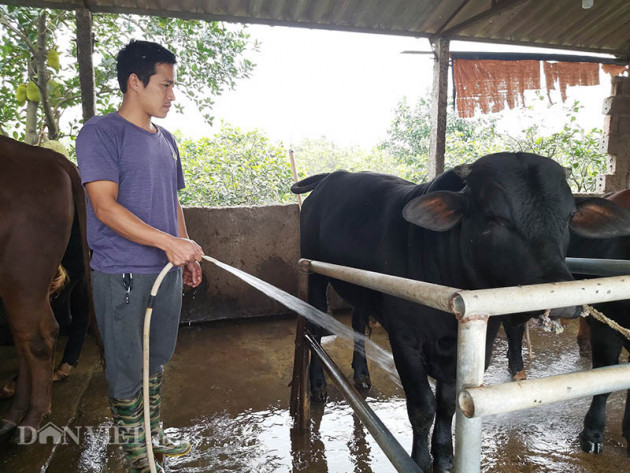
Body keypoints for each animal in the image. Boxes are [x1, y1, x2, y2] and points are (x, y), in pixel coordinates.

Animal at [294, 153, 630, 470]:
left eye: (569, 215)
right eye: (492, 216)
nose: (562, 299)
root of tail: (334, 175)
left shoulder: (471, 347)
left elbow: (446, 406)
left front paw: (444, 457)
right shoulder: (405, 342)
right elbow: (423, 408)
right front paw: (420, 460)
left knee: (359, 321)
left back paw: (362, 375)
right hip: (314, 276)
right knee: (314, 328)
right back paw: (318, 386)